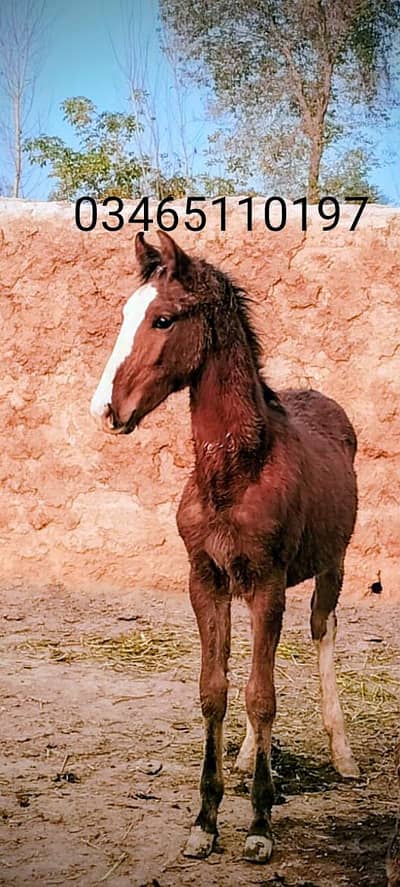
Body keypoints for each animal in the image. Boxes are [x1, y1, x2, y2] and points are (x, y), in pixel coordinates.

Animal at [90, 230, 360, 863]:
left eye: (163, 319)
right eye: (125, 314)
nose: (107, 409)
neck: (233, 472)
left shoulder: (267, 580)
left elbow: (262, 696)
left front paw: (260, 825)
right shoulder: (206, 578)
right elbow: (216, 690)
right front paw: (205, 821)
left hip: (330, 566)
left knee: (323, 632)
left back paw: (342, 756)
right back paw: (245, 758)